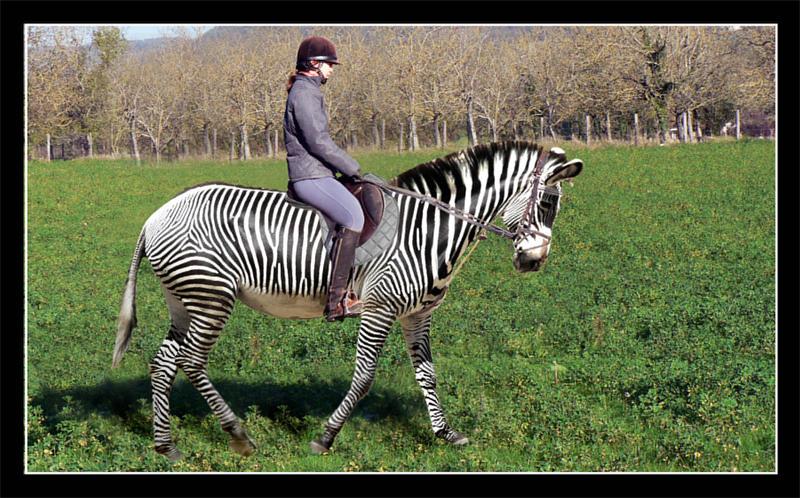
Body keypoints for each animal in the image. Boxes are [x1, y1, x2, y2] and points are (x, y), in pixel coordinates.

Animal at [112, 141, 583, 460]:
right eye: (548, 201)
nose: (533, 262)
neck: (426, 228)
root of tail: (156, 215)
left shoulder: (418, 315)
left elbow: (428, 375)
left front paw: (446, 434)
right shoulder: (379, 308)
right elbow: (364, 378)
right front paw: (325, 437)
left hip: (184, 299)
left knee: (163, 362)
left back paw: (166, 445)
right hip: (211, 297)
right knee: (191, 362)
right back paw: (239, 436)